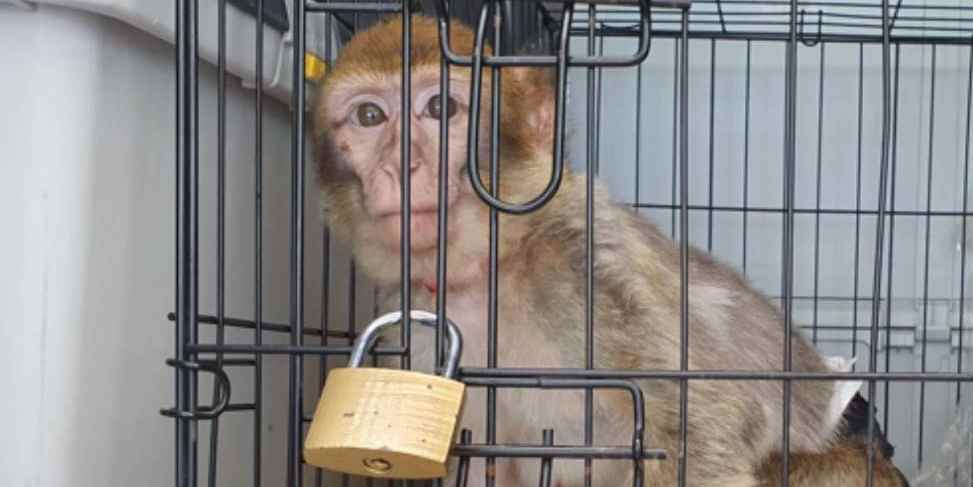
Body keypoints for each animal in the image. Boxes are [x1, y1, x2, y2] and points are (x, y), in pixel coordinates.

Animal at [313, 14, 861, 486]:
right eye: (369, 116)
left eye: (439, 108)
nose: (400, 165)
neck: (495, 266)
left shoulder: (590, 277)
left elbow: (706, 434)